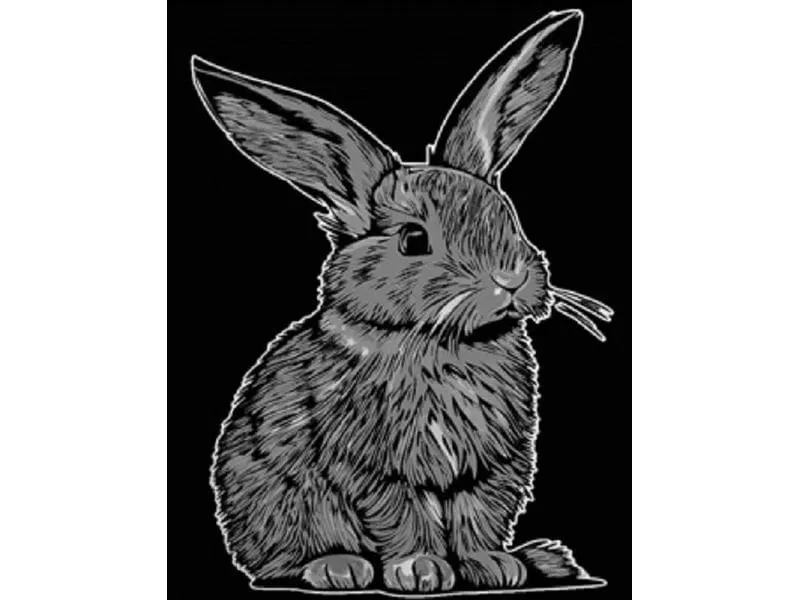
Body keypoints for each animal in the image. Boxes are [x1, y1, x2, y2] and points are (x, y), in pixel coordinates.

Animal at [191, 8, 613, 593]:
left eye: (506, 214)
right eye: (414, 240)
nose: (510, 280)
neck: (445, 345)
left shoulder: (492, 468)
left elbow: (477, 516)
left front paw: (493, 567)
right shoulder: (373, 468)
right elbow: (403, 516)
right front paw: (421, 570)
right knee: (288, 558)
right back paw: (339, 567)